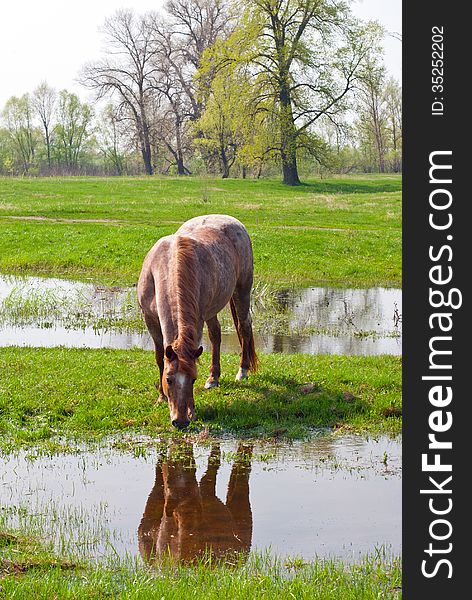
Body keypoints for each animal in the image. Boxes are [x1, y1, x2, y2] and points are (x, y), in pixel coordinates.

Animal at [137, 213, 258, 428]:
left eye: (193, 379)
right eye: (169, 379)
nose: (181, 421)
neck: (168, 263)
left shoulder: (197, 320)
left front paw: (191, 411)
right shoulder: (150, 319)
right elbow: (160, 357)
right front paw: (161, 397)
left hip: (242, 291)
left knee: (244, 328)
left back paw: (242, 371)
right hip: (212, 311)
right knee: (216, 335)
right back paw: (213, 378)